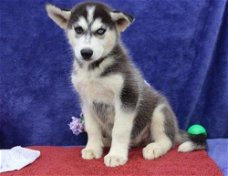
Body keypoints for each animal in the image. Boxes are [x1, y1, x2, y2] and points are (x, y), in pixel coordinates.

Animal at [45, 2, 206, 167]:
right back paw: (105, 141)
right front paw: (93, 148)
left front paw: (116, 155)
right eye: (78, 29)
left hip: (159, 113)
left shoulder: (128, 95)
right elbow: (92, 128)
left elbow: (120, 129)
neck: (94, 70)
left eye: (101, 31)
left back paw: (155, 147)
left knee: (167, 140)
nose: (86, 52)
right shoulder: (86, 100)